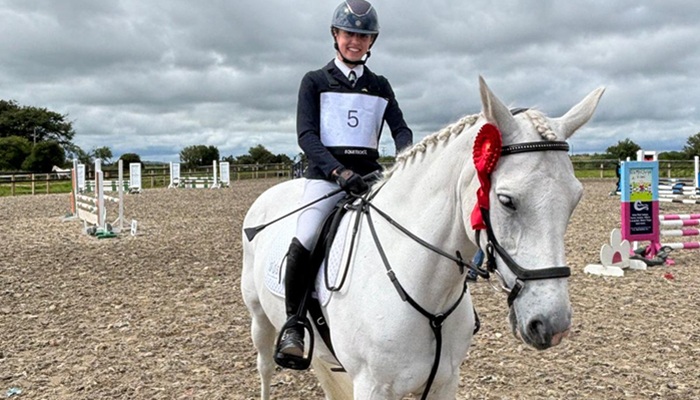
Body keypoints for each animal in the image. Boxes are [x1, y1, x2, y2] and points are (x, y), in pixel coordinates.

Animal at [241, 76, 604, 399]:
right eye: (506, 200)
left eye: (575, 199)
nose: (552, 325)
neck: (429, 297)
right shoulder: (372, 387)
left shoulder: (444, 382)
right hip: (260, 320)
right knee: (265, 368)